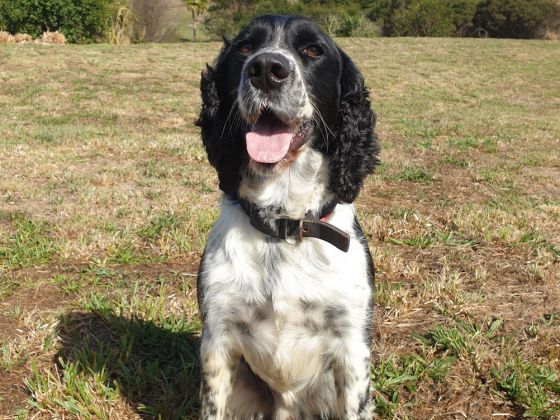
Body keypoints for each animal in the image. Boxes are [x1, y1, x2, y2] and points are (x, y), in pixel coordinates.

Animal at [196, 14, 380, 418]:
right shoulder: (217, 337)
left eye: (312, 50)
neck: (283, 224)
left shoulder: (351, 345)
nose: (266, 68)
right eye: (245, 48)